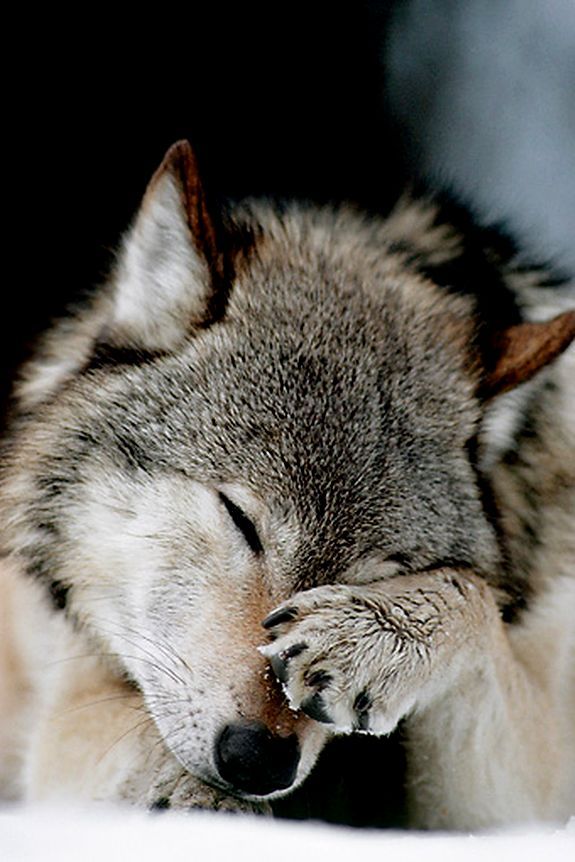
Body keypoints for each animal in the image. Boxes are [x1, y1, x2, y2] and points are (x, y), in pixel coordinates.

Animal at [1, 142, 575, 832]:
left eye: (383, 575)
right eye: (239, 519)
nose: (257, 759)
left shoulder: (528, 786)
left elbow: (476, 596)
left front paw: (374, 639)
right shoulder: (71, 695)